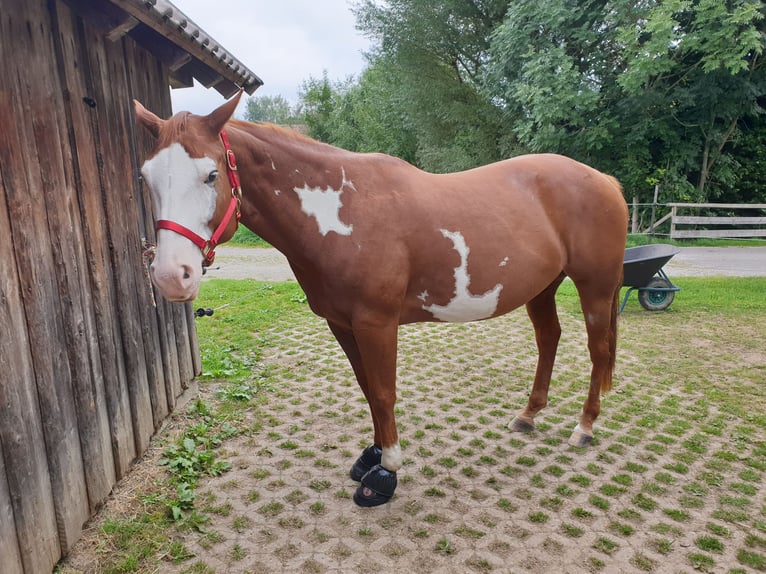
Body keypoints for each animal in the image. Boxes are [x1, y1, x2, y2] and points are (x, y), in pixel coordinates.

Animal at [134, 91, 628, 507]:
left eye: (211, 174)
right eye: (146, 178)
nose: (171, 277)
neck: (343, 212)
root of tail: (605, 180)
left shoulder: (377, 323)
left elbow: (385, 392)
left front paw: (386, 474)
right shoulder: (342, 324)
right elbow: (368, 389)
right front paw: (370, 456)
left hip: (596, 288)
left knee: (597, 350)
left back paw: (585, 426)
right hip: (543, 288)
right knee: (549, 339)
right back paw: (528, 415)